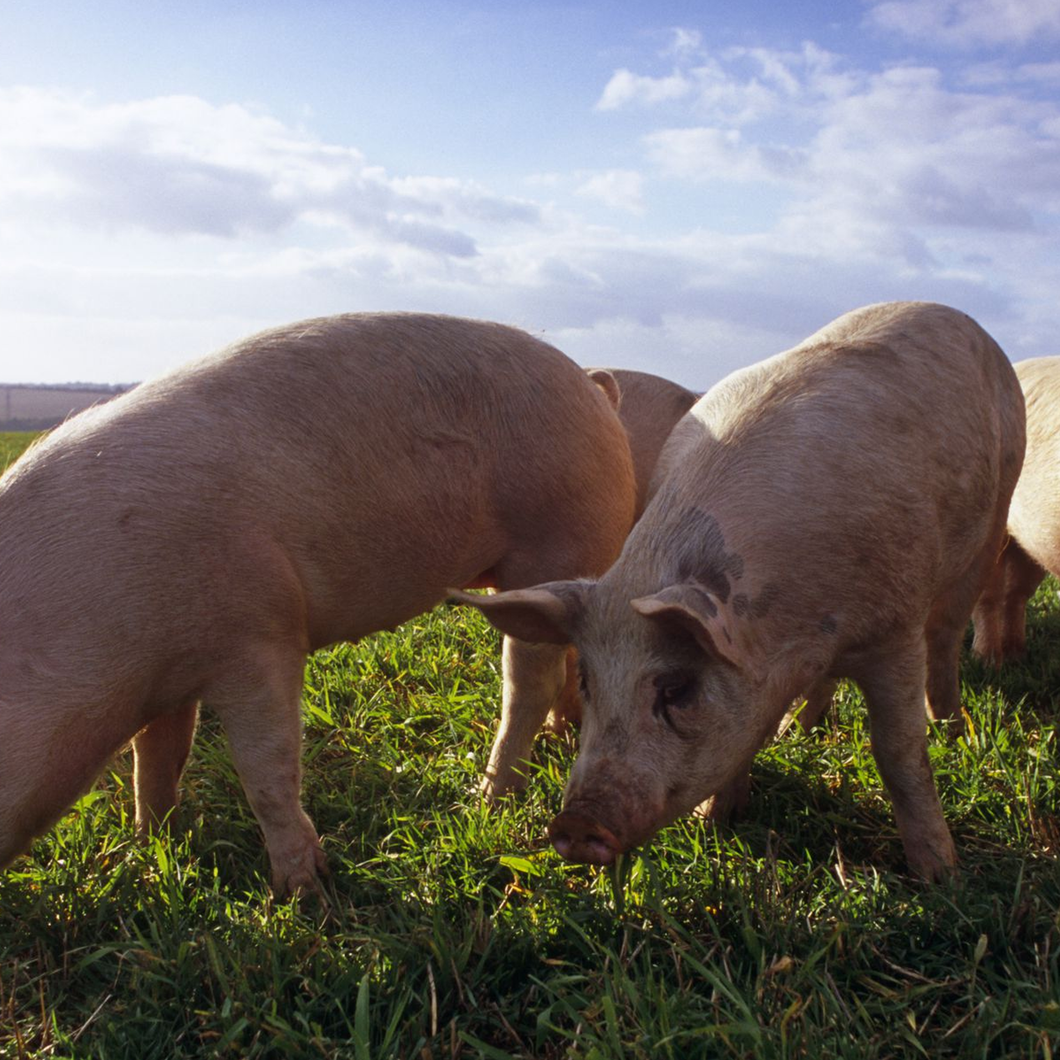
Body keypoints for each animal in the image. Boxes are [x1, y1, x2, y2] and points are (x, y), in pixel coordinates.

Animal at [0, 313, 631, 894]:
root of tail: (590, 383)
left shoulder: (261, 634)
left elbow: (266, 767)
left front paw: (303, 894)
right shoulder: (168, 681)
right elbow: (154, 759)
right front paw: (151, 850)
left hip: (552, 538)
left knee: (528, 681)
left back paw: (487, 800)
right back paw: (561, 735)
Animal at [453, 303, 1026, 881]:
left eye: (677, 688)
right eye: (588, 682)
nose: (575, 825)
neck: (802, 632)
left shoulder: (895, 628)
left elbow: (898, 750)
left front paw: (939, 876)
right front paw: (713, 822)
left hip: (994, 514)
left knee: (946, 635)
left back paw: (951, 729)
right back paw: (796, 733)